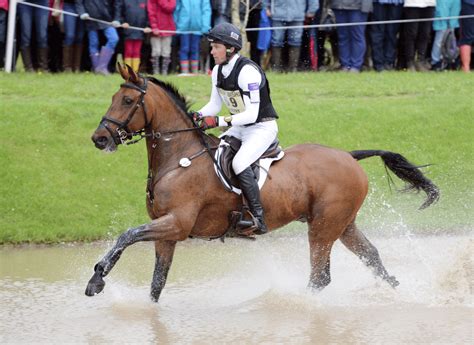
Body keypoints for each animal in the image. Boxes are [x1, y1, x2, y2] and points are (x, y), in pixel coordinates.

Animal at [84, 64, 436, 300]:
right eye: (115, 97)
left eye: (127, 101)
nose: (99, 138)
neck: (178, 159)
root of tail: (349, 156)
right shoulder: (167, 233)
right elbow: (157, 282)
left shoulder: (177, 224)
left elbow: (127, 236)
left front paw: (97, 279)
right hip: (342, 223)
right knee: (371, 256)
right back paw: (397, 289)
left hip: (323, 227)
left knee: (320, 275)